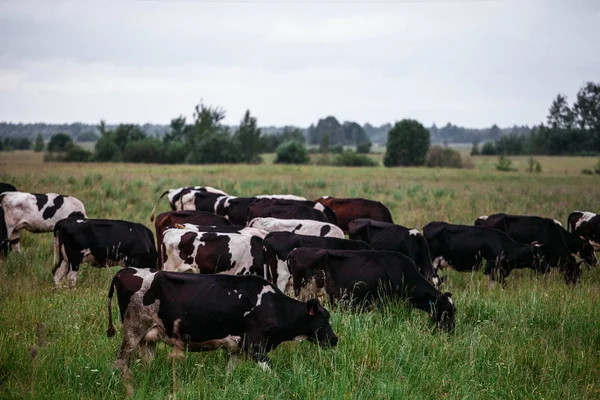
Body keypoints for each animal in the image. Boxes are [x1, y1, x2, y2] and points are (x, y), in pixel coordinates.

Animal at [107, 266, 338, 376]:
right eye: (325, 318)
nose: (335, 339)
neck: (273, 305)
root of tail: (126, 270)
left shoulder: (235, 348)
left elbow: (229, 372)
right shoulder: (254, 345)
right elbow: (273, 372)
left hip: (149, 338)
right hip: (132, 331)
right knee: (120, 362)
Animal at [286, 248, 454, 332]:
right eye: (445, 310)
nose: (451, 331)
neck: (403, 271)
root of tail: (294, 251)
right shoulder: (384, 304)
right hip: (302, 293)